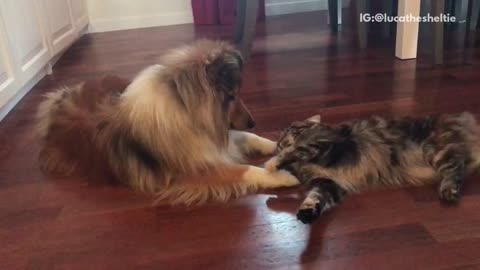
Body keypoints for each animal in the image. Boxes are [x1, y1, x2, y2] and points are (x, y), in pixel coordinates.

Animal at [266, 112, 480, 224]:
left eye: (291, 129)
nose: (279, 141)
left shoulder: (328, 147)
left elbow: (297, 151)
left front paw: (272, 163)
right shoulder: (329, 183)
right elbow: (315, 198)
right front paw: (307, 213)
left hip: (437, 151)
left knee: (456, 168)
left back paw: (448, 191)